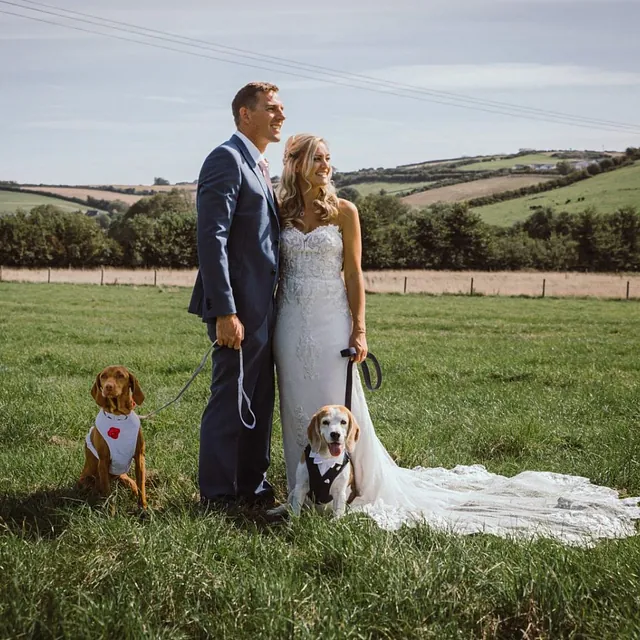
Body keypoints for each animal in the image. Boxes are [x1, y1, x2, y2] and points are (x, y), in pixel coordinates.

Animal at [79, 364, 148, 510]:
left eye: (120, 375)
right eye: (103, 376)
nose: (108, 387)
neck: (118, 417)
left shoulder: (139, 457)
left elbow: (141, 485)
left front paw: (143, 508)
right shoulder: (103, 462)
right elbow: (107, 493)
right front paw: (110, 512)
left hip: (121, 475)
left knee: (132, 483)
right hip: (87, 479)